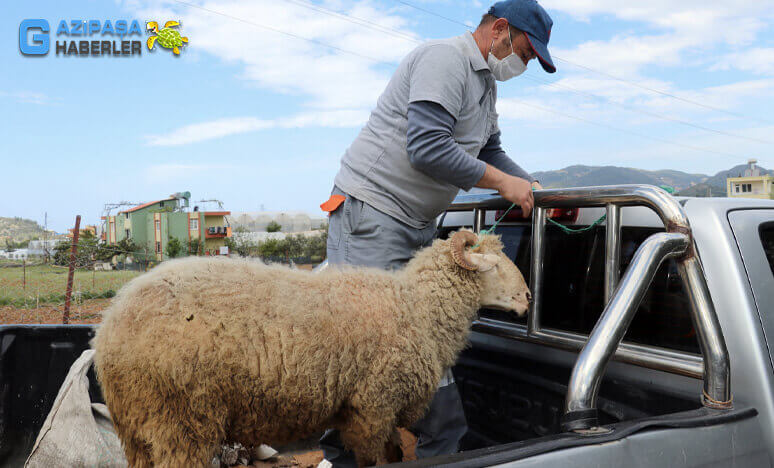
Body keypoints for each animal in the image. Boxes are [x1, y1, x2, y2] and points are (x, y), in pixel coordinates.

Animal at [89, 230, 528, 468]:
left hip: (137, 423)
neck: (414, 306)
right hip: (180, 418)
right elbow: (376, 458)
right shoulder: (374, 404)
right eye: (493, 266)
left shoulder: (363, 409)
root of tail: (111, 322)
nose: (527, 298)